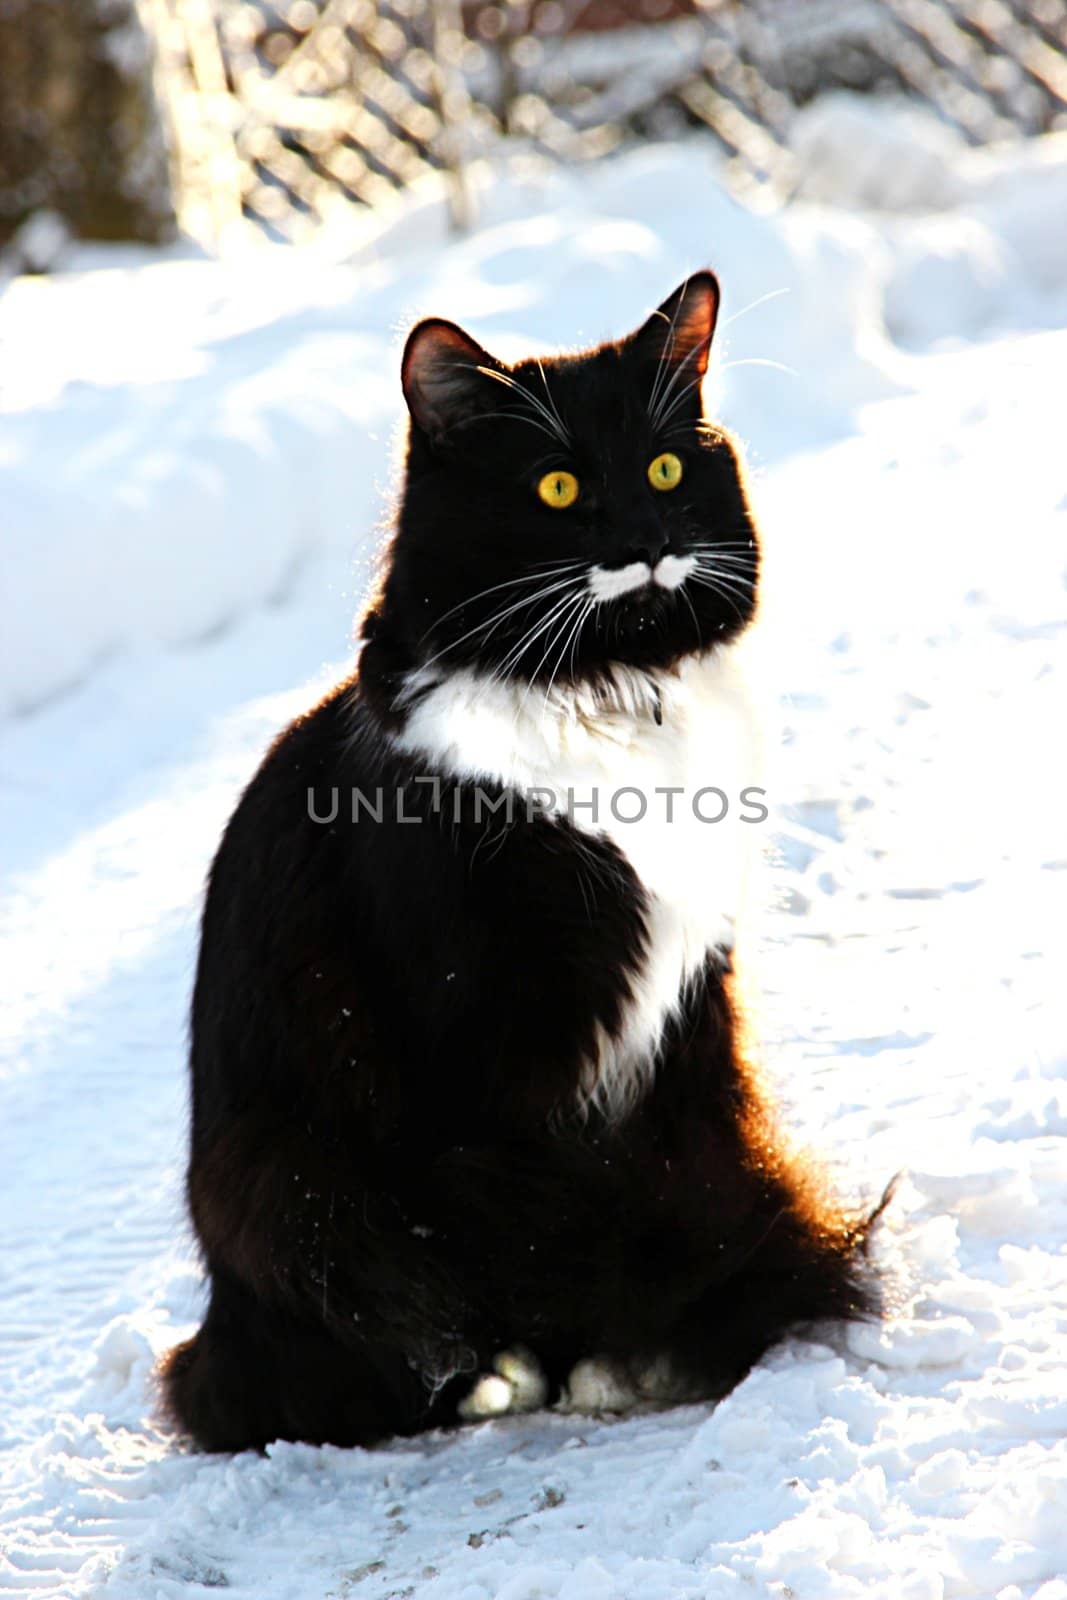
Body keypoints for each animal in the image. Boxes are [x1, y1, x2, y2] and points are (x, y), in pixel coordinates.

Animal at [163, 272, 889, 1452]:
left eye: (663, 469)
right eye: (556, 487)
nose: (644, 536)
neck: (610, 688)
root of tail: (219, 1326)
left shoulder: (692, 1001)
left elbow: (701, 1157)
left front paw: (664, 1332)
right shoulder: (479, 1038)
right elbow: (541, 1220)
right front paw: (598, 1352)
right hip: (276, 1178)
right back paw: (487, 1375)